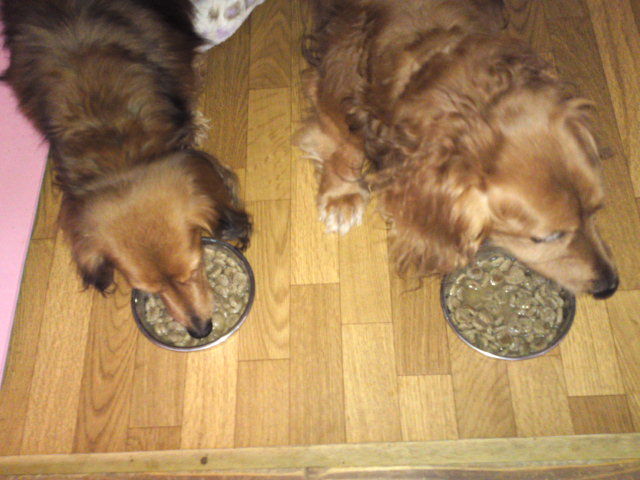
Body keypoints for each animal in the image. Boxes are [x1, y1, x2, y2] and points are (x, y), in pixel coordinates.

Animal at [297, 0, 618, 298]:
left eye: (596, 210)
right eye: (547, 237)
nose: (610, 286)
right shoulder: (332, 81)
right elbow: (343, 139)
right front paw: (342, 196)